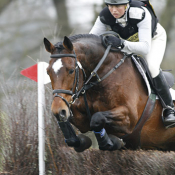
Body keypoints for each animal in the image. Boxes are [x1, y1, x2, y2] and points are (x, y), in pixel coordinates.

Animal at [43, 33, 175, 152]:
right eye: (48, 72)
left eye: (71, 70)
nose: (58, 110)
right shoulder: (81, 119)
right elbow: (70, 124)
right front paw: (79, 141)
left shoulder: (129, 118)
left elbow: (97, 118)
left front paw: (110, 142)